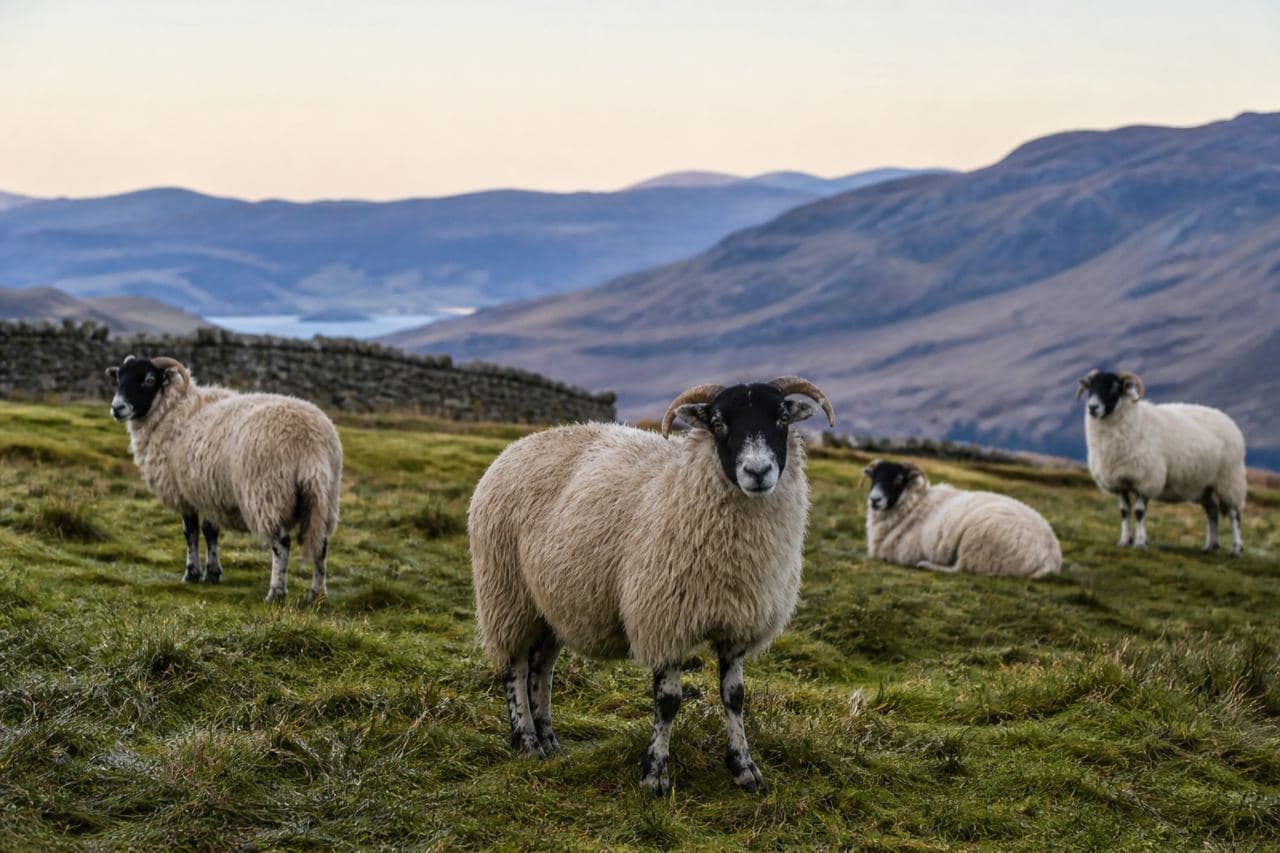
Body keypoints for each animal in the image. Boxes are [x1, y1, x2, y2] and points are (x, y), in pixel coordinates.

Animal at [106, 355, 343, 602]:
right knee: (321, 543)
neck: (172, 409)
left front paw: (191, 574)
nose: (117, 408)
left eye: (149, 380)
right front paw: (212, 573)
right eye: (119, 377)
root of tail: (310, 443)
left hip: (267, 493)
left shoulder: (184, 492)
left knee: (281, 543)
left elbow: (190, 532)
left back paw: (275, 593)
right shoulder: (211, 491)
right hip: (325, 496)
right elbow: (211, 531)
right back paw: (316, 595)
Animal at [469, 376, 836, 796]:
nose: (757, 471)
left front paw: (745, 769)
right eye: (718, 423)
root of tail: (515, 446)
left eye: (781, 419)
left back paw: (548, 739)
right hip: (507, 592)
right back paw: (527, 740)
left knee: (541, 668)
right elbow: (669, 700)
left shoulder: (736, 625)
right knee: (514, 666)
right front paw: (655, 774)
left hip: (553, 604)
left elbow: (735, 697)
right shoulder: (663, 618)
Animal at [863, 459, 1062, 578]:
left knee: (960, 569)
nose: (874, 500)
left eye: (898, 480)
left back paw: (926, 565)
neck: (913, 504)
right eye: (874, 478)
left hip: (979, 546)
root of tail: (1051, 557)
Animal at [1076, 370, 1247, 556]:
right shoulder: (1118, 481)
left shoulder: (1147, 479)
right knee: (1212, 512)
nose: (1093, 408)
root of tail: (1228, 420)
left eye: (1114, 387)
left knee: (1234, 514)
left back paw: (1236, 549)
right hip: (1204, 486)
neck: (1136, 420)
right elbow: (1124, 512)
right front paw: (1124, 541)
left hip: (1229, 480)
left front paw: (1140, 543)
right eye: (1090, 387)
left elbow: (1139, 512)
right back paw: (1211, 546)